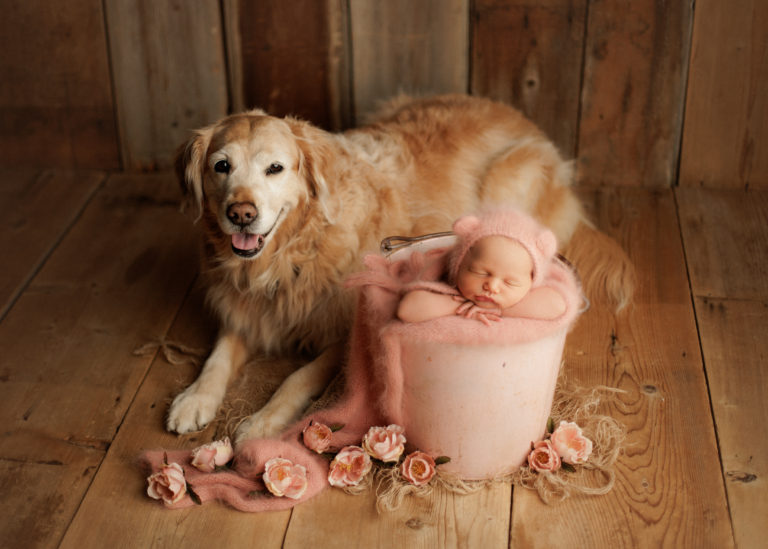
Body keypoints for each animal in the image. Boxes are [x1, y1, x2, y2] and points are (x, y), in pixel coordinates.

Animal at [166, 94, 632, 444]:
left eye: (275, 168)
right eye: (221, 166)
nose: (241, 214)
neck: (289, 256)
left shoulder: (344, 333)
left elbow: (297, 377)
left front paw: (261, 421)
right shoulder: (247, 310)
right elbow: (218, 356)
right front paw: (194, 399)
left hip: (510, 178)